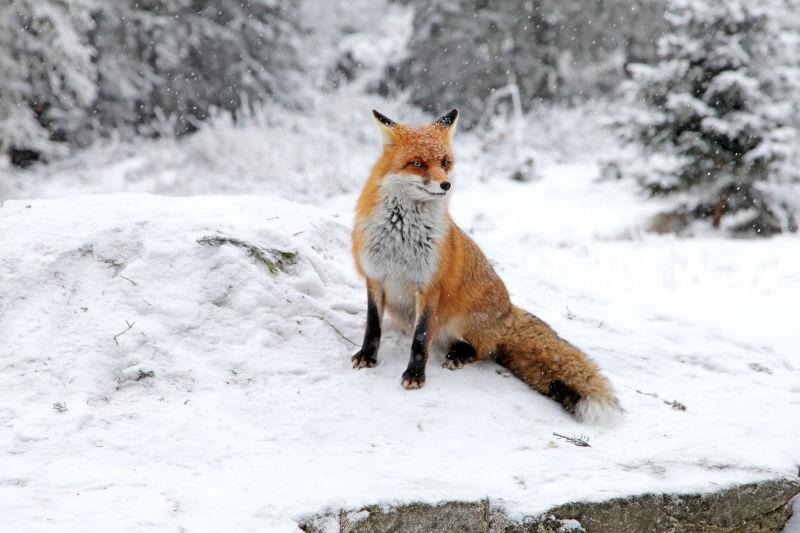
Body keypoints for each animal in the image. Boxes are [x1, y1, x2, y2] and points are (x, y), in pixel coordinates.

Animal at [348, 109, 620, 424]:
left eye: (445, 163)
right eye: (417, 163)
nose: (446, 185)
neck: (401, 235)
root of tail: (509, 311)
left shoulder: (429, 288)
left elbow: (421, 338)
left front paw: (415, 374)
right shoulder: (375, 277)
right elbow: (373, 326)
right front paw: (367, 357)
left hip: (464, 322)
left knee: (483, 349)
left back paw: (459, 355)